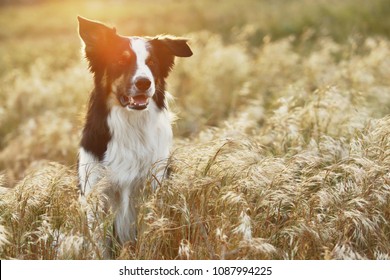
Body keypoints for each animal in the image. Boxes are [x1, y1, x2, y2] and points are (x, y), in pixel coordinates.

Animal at [77, 16, 193, 246]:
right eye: (121, 61)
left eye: (152, 63)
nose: (144, 83)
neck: (131, 123)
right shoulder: (97, 194)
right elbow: (100, 245)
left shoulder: (152, 188)